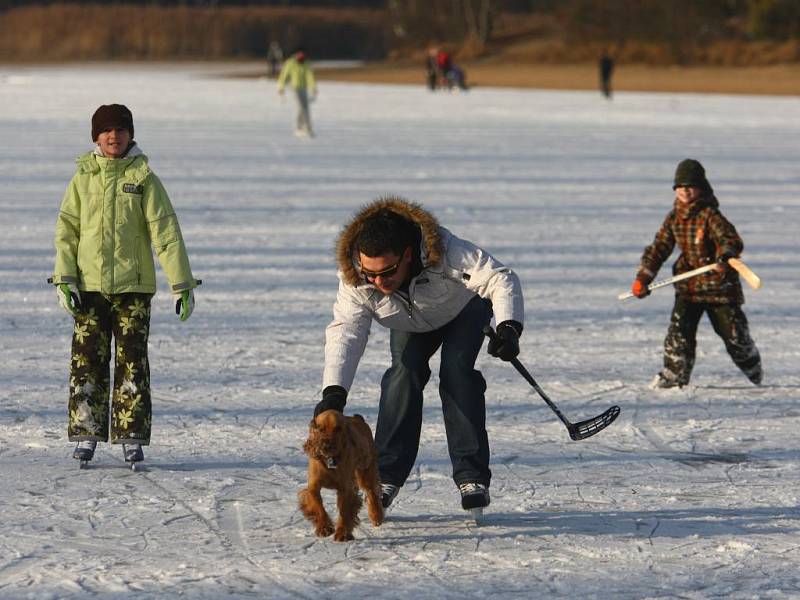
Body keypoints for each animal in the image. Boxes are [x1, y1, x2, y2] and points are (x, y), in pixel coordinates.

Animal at [302, 410, 386, 540]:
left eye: (338, 429)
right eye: (320, 429)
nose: (327, 445)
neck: (331, 460)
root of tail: (358, 418)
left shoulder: (346, 488)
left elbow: (345, 511)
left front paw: (343, 533)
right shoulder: (313, 486)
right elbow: (317, 505)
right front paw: (324, 528)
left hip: (365, 470)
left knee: (371, 491)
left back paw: (376, 516)